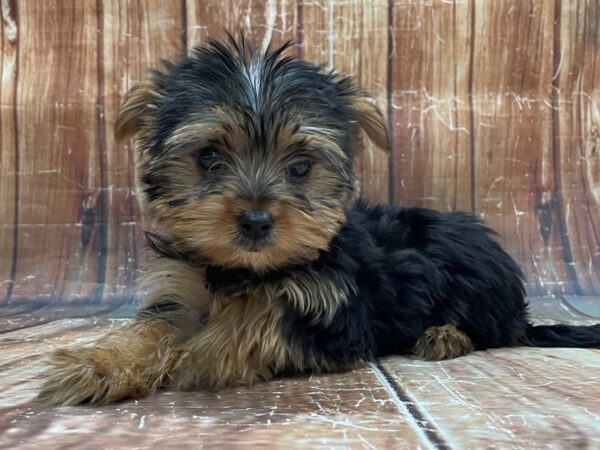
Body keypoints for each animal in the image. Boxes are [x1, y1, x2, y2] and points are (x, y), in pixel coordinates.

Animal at [38, 33, 600, 406]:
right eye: (209, 158)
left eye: (301, 166)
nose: (256, 220)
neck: (246, 270)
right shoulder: (182, 287)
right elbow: (158, 327)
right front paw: (102, 363)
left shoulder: (336, 311)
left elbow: (264, 316)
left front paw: (198, 354)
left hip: (466, 264)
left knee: (492, 328)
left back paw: (444, 335)